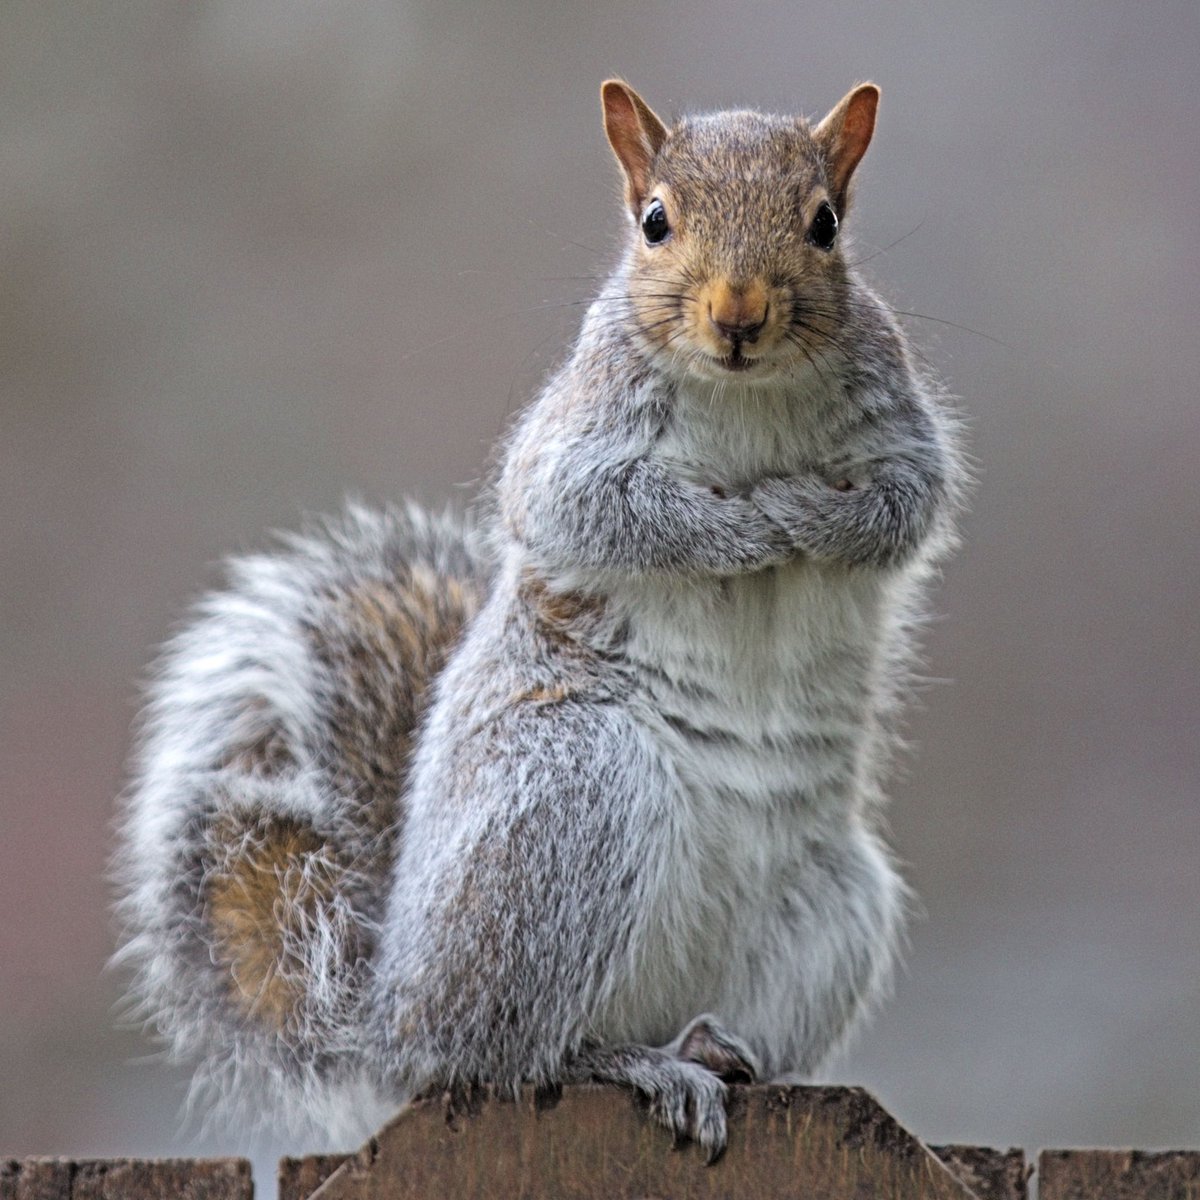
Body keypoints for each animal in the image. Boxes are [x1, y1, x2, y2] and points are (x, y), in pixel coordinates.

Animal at [114, 79, 964, 1161]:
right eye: (654, 222)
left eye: (825, 224)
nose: (739, 314)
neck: (749, 395)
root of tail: (390, 1018)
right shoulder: (576, 442)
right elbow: (594, 511)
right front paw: (745, 526)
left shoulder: (899, 430)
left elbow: (904, 505)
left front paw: (810, 514)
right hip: (575, 800)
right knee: (510, 1056)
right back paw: (639, 1064)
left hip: (835, 903)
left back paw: (719, 1049)